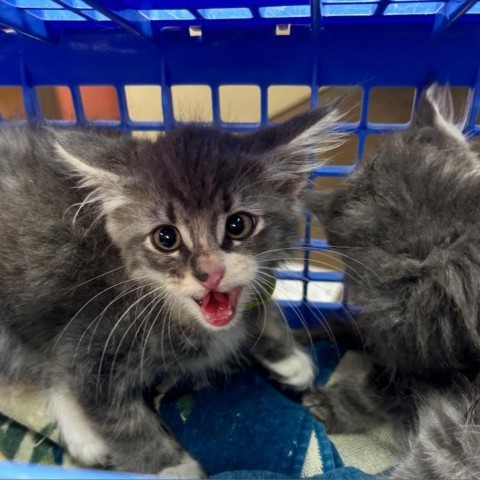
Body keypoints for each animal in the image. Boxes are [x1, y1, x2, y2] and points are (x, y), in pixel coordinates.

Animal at [0, 107, 342, 478]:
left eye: (238, 225)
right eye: (166, 238)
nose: (210, 273)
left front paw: (286, 354)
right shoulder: (90, 338)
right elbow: (120, 417)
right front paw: (171, 467)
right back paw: (84, 436)